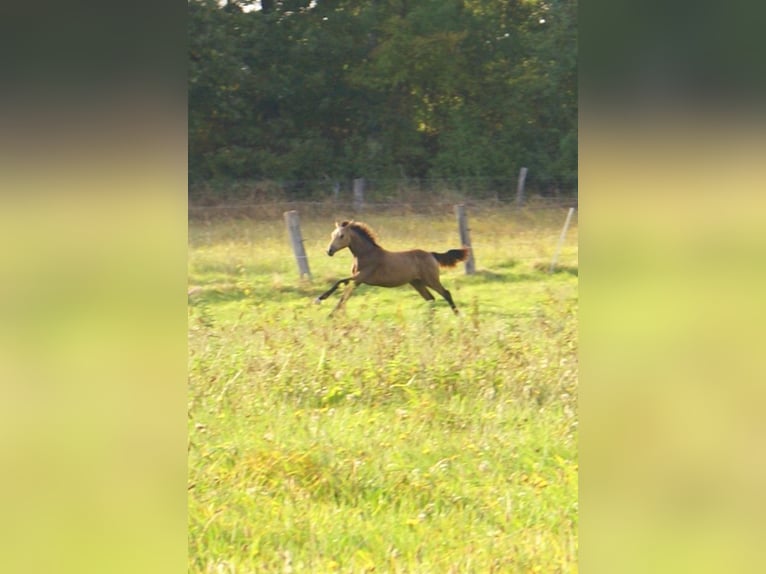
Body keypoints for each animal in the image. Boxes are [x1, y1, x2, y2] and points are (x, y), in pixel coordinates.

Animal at [316, 222, 472, 320]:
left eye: (341, 236)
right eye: (332, 235)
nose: (329, 251)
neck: (366, 254)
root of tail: (431, 254)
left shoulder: (361, 277)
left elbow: (340, 283)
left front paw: (321, 302)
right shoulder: (357, 280)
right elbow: (344, 295)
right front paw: (330, 312)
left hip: (430, 280)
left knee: (445, 293)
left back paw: (458, 315)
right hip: (417, 282)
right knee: (430, 298)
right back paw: (428, 320)